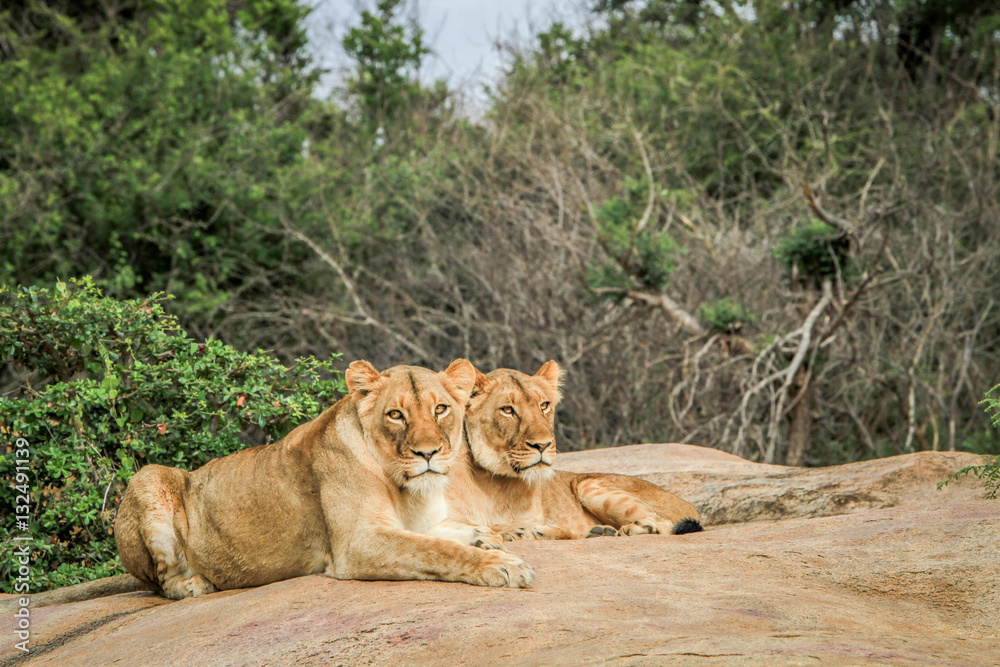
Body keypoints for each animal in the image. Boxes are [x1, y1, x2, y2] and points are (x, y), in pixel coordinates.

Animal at [111, 359, 534, 600]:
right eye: (396, 415)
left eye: (441, 409)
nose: (428, 453)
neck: (408, 490)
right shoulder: (358, 544)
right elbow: (436, 551)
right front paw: (502, 566)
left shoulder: (419, 523)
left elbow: (451, 533)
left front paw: (496, 535)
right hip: (148, 477)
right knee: (162, 582)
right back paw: (197, 584)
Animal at [446, 361, 703, 541]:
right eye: (507, 410)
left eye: (544, 405)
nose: (543, 445)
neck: (493, 484)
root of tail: (690, 505)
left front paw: (525, 531)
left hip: (588, 484)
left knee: (663, 523)